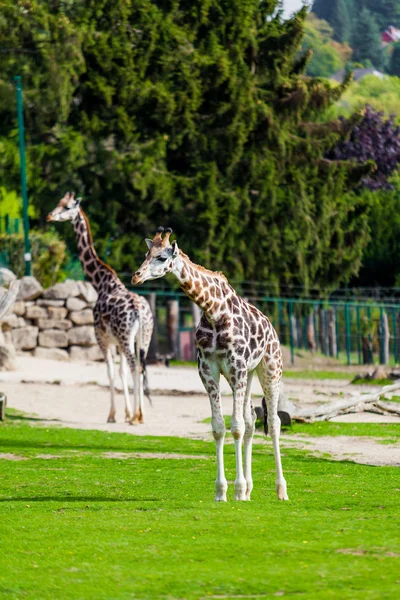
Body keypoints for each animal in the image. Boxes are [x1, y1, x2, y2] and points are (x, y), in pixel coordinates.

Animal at [46, 190, 153, 424]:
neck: (101, 283)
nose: (50, 216)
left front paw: (114, 415)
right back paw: (140, 416)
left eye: (67, 207)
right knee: (141, 367)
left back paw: (136, 417)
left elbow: (111, 372)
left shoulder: (102, 338)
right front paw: (127, 413)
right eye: (58, 202)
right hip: (143, 338)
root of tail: (140, 311)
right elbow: (121, 372)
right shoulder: (118, 342)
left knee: (135, 367)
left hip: (126, 338)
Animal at [131, 227, 288, 500]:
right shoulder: (208, 370)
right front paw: (222, 492)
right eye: (145, 255)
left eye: (162, 257)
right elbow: (218, 427)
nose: (136, 277)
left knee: (273, 421)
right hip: (247, 376)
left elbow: (235, 426)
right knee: (251, 418)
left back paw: (280, 490)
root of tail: (272, 327)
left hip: (269, 368)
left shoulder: (236, 367)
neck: (213, 311)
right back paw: (250, 489)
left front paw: (236, 490)